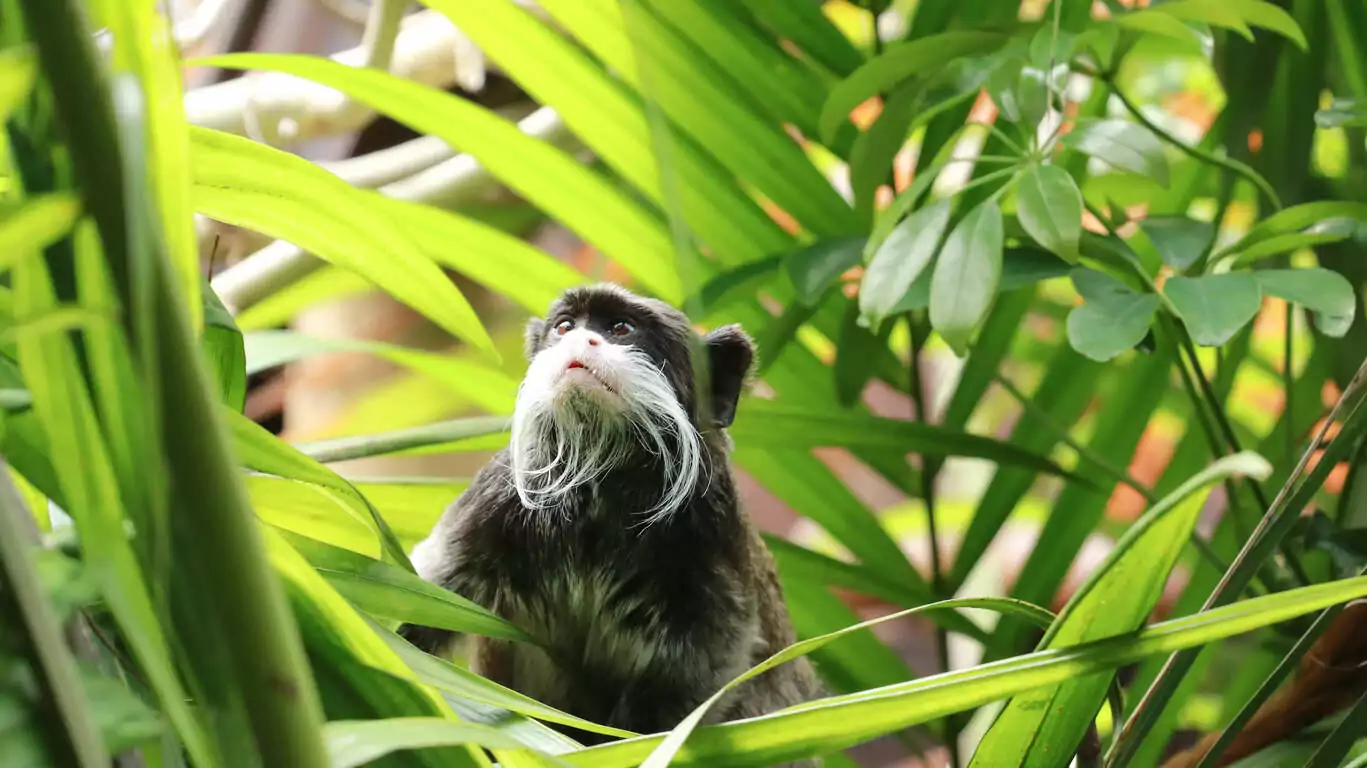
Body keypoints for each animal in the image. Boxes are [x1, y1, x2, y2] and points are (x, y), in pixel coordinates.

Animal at [396, 284, 820, 759]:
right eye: (565, 328)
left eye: (620, 328)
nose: (582, 340)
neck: (602, 481)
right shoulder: (496, 497)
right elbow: (430, 593)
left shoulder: (711, 528)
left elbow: (701, 672)